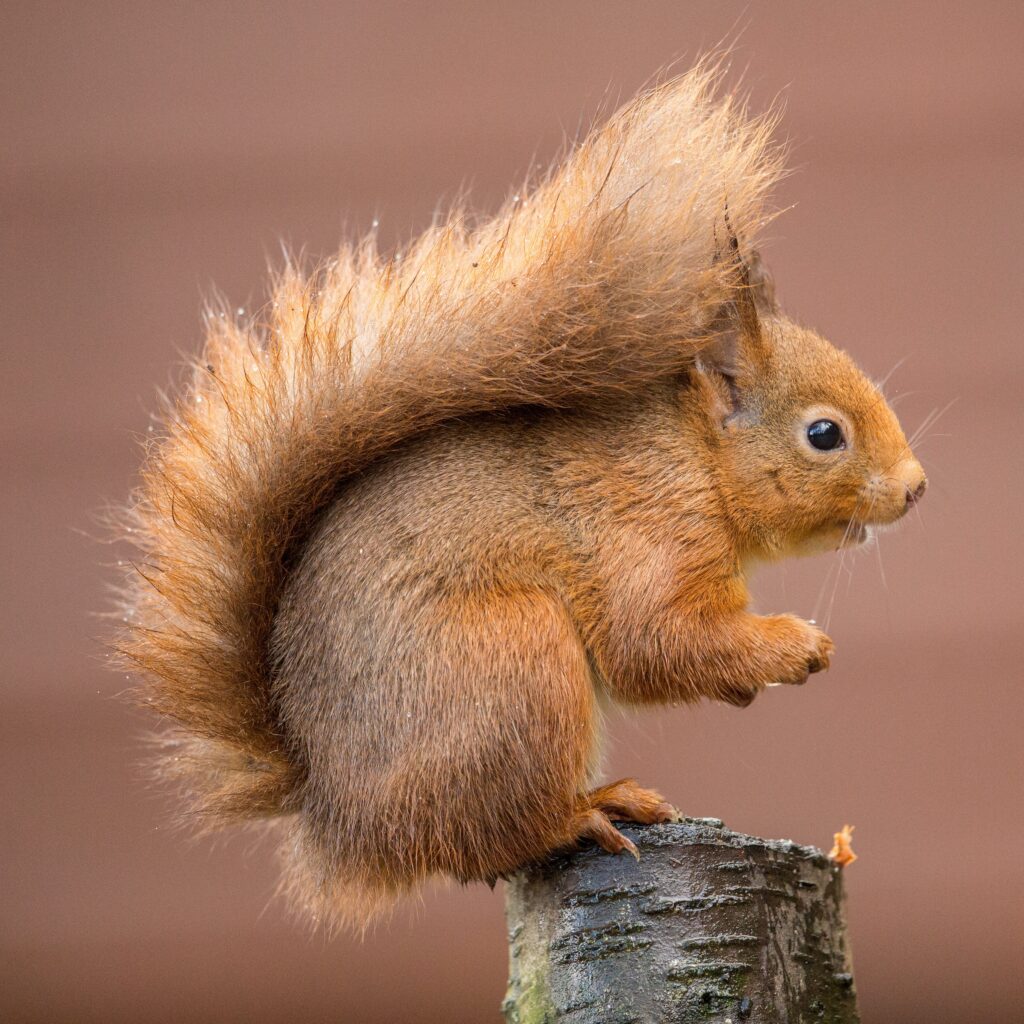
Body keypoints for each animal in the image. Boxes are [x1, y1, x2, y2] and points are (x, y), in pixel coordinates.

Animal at [116, 63, 926, 931]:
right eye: (824, 434)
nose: (916, 488)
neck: (695, 461)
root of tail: (341, 820)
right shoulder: (648, 530)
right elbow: (655, 641)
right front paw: (794, 645)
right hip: (515, 664)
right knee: (501, 835)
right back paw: (591, 809)